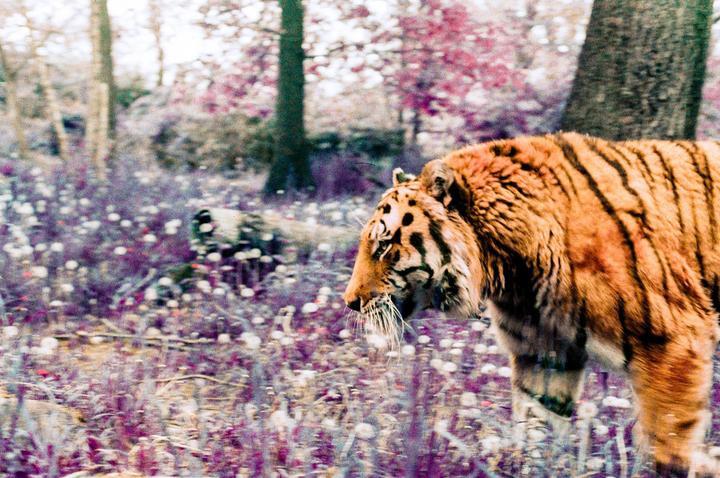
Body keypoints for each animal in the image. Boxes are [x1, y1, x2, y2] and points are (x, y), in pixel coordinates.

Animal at [343, 132, 720, 477]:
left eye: (383, 246)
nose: (350, 303)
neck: (513, 271)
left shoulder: (673, 340)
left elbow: (668, 442)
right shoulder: (543, 353)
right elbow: (536, 430)